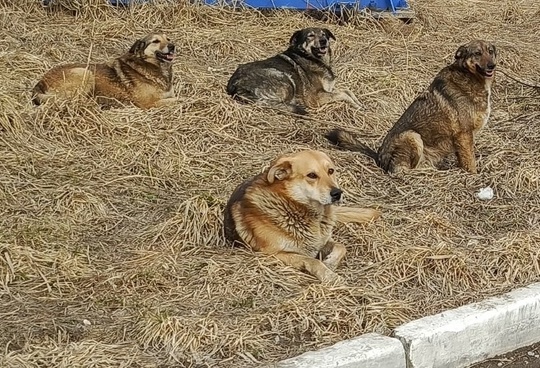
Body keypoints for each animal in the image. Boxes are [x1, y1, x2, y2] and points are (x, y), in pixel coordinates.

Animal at [31, 32, 177, 109]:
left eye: (168, 39)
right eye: (156, 41)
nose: (172, 46)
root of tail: (40, 82)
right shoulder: (149, 103)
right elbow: (179, 100)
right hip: (86, 73)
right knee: (74, 101)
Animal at [224, 150, 380, 282]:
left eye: (331, 171)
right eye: (312, 175)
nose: (337, 193)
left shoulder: (321, 242)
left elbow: (341, 246)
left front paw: (330, 262)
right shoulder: (274, 254)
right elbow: (313, 260)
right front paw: (330, 276)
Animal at [324, 39, 498, 175]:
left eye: (490, 51)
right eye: (477, 53)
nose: (492, 65)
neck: (470, 77)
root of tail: (378, 157)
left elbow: (465, 159)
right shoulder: (464, 134)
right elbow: (470, 162)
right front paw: (474, 176)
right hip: (412, 136)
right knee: (401, 170)